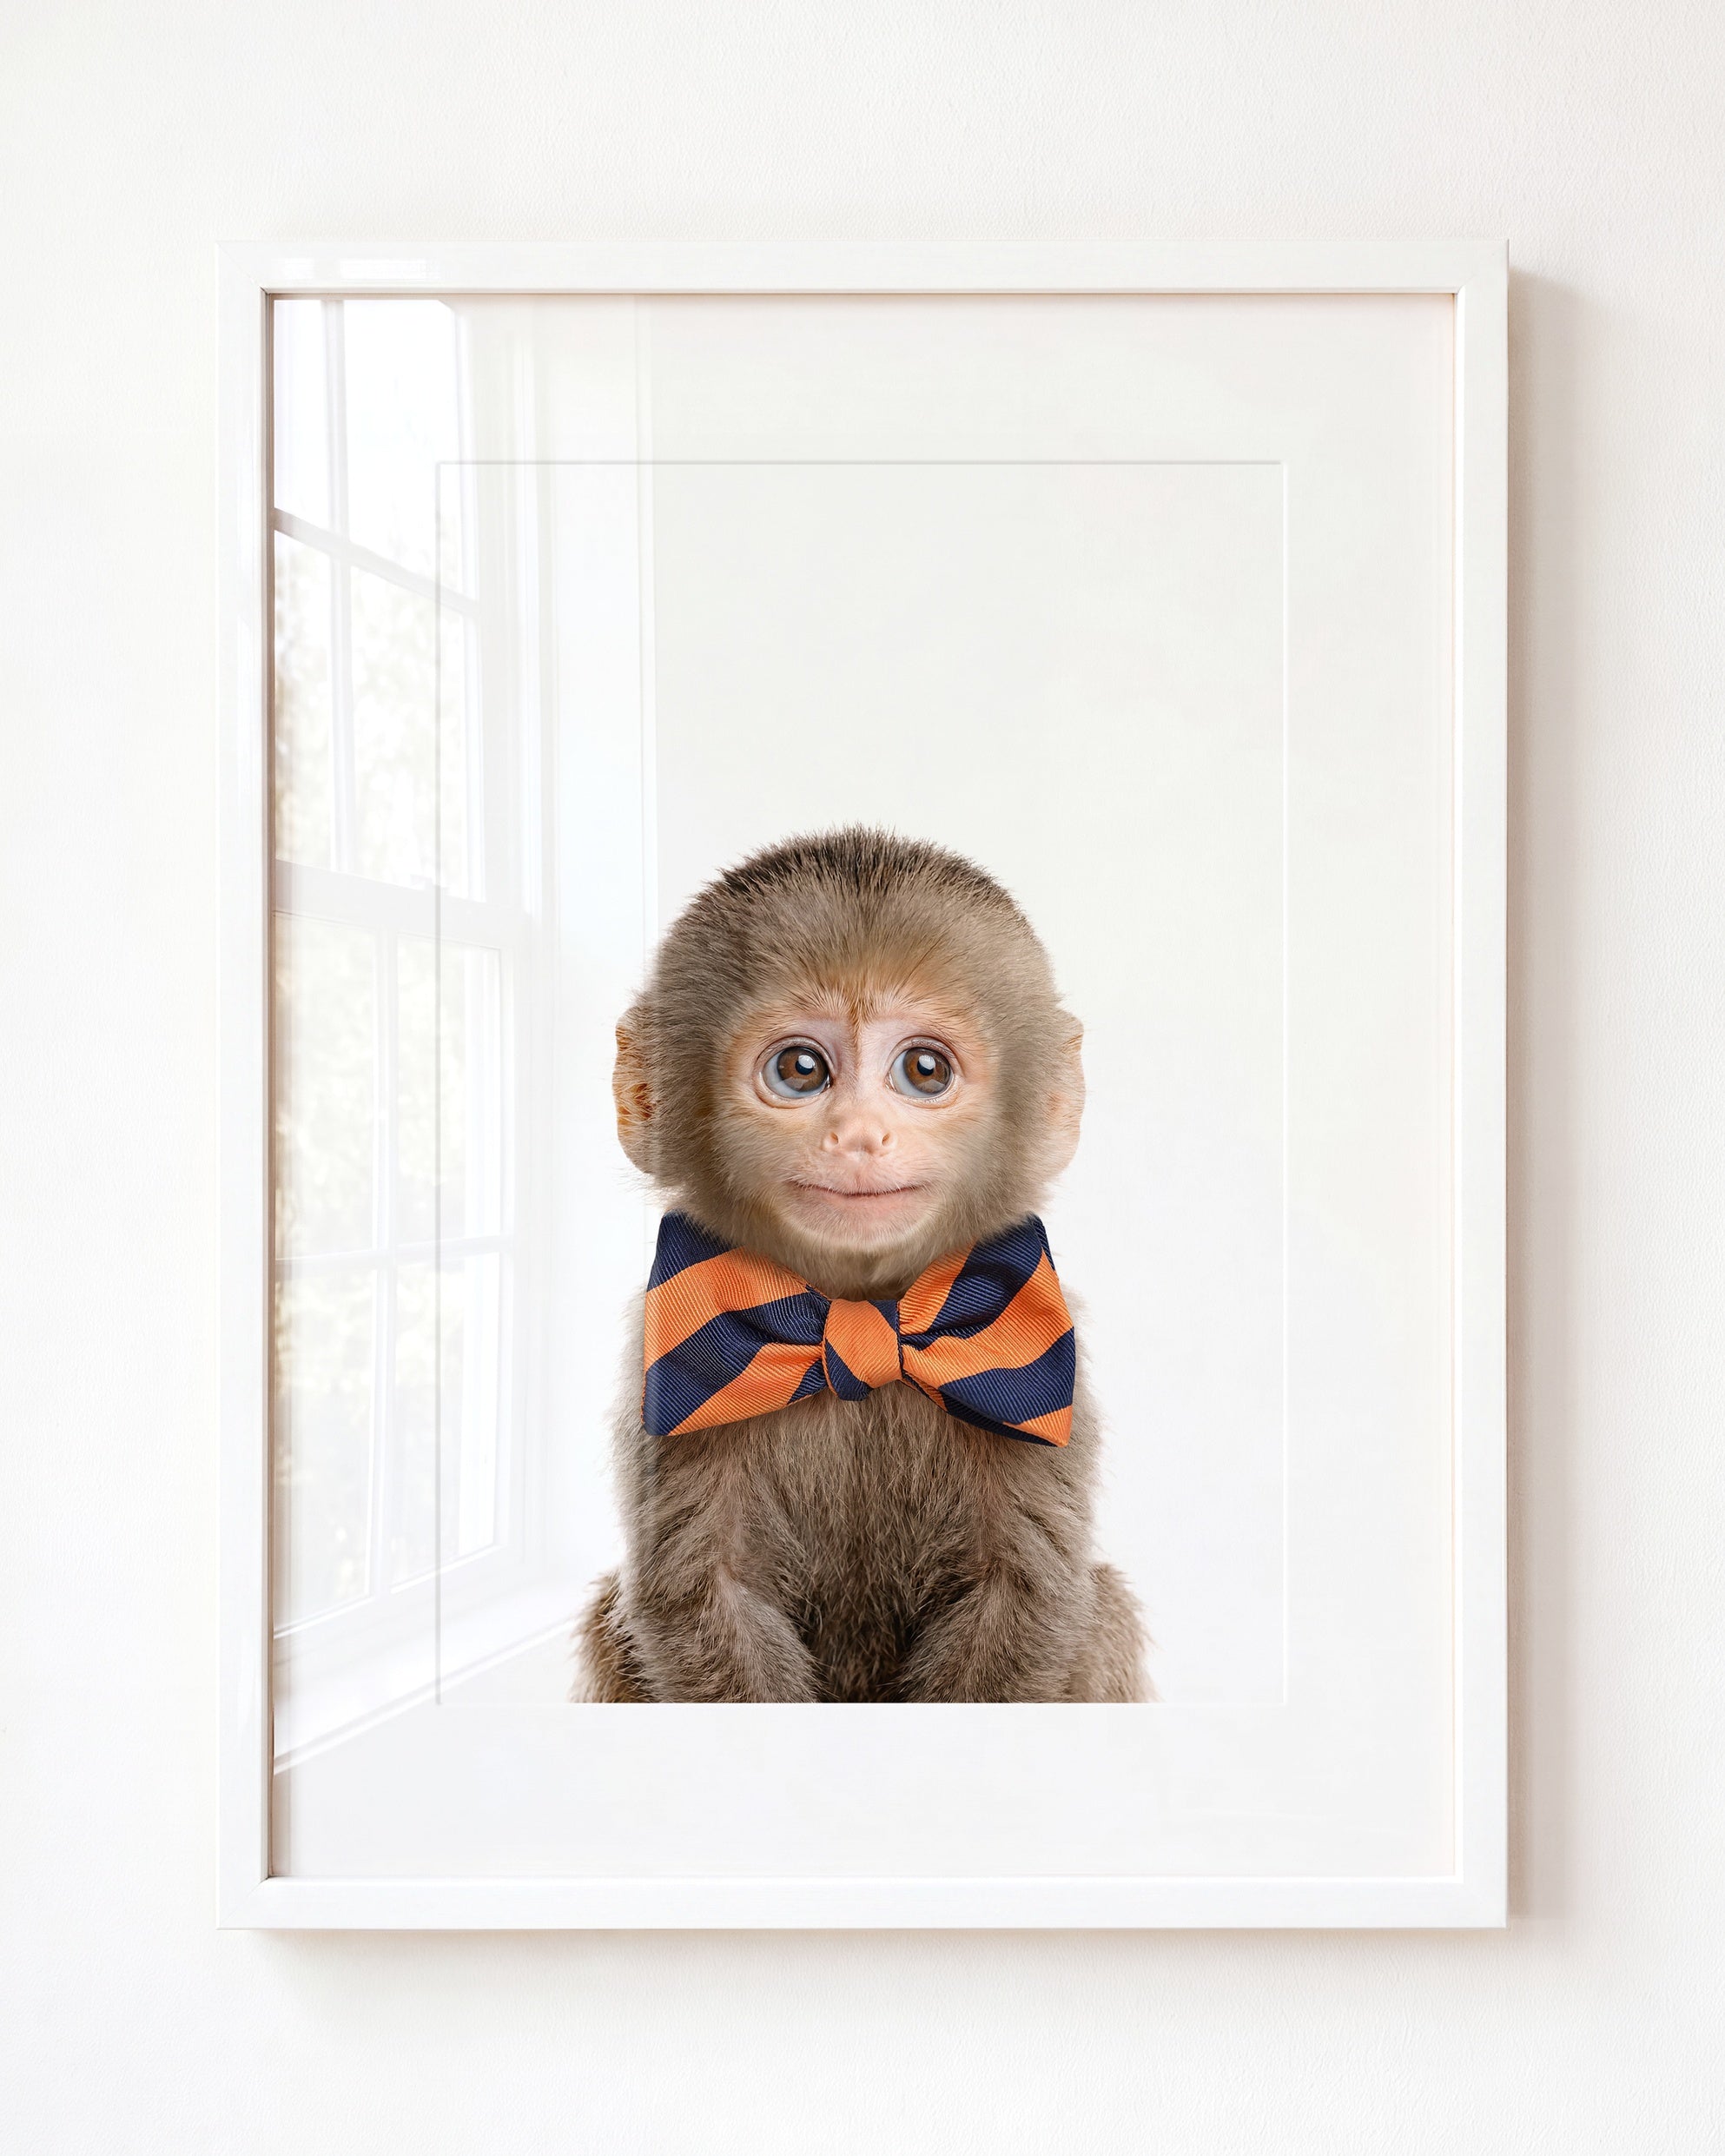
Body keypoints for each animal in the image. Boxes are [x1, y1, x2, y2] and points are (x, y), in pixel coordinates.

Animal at [573, 827, 1148, 1703]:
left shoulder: (1048, 1368)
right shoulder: (669, 1365)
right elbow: (703, 1596)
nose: (859, 1136)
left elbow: (1024, 1595)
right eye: (801, 1069)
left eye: (924, 1070)